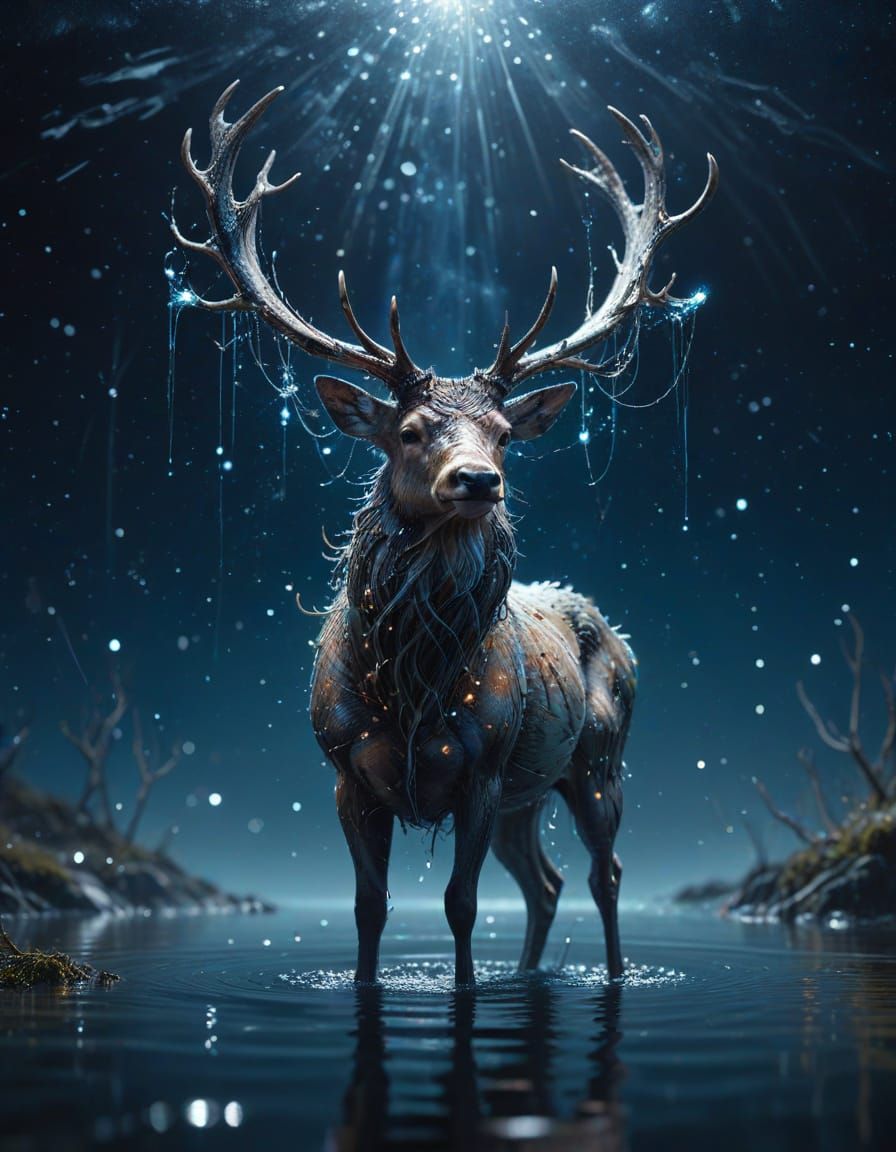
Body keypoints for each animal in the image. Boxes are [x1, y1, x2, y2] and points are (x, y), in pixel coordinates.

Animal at [172, 82, 718, 984]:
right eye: (410, 430)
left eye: (502, 434)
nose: (477, 482)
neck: (412, 684)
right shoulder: (346, 775)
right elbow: (369, 908)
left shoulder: (482, 770)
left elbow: (461, 907)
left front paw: (464, 989)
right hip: (528, 797)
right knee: (546, 880)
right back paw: (527, 975)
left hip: (596, 760)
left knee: (603, 873)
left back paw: (609, 973)